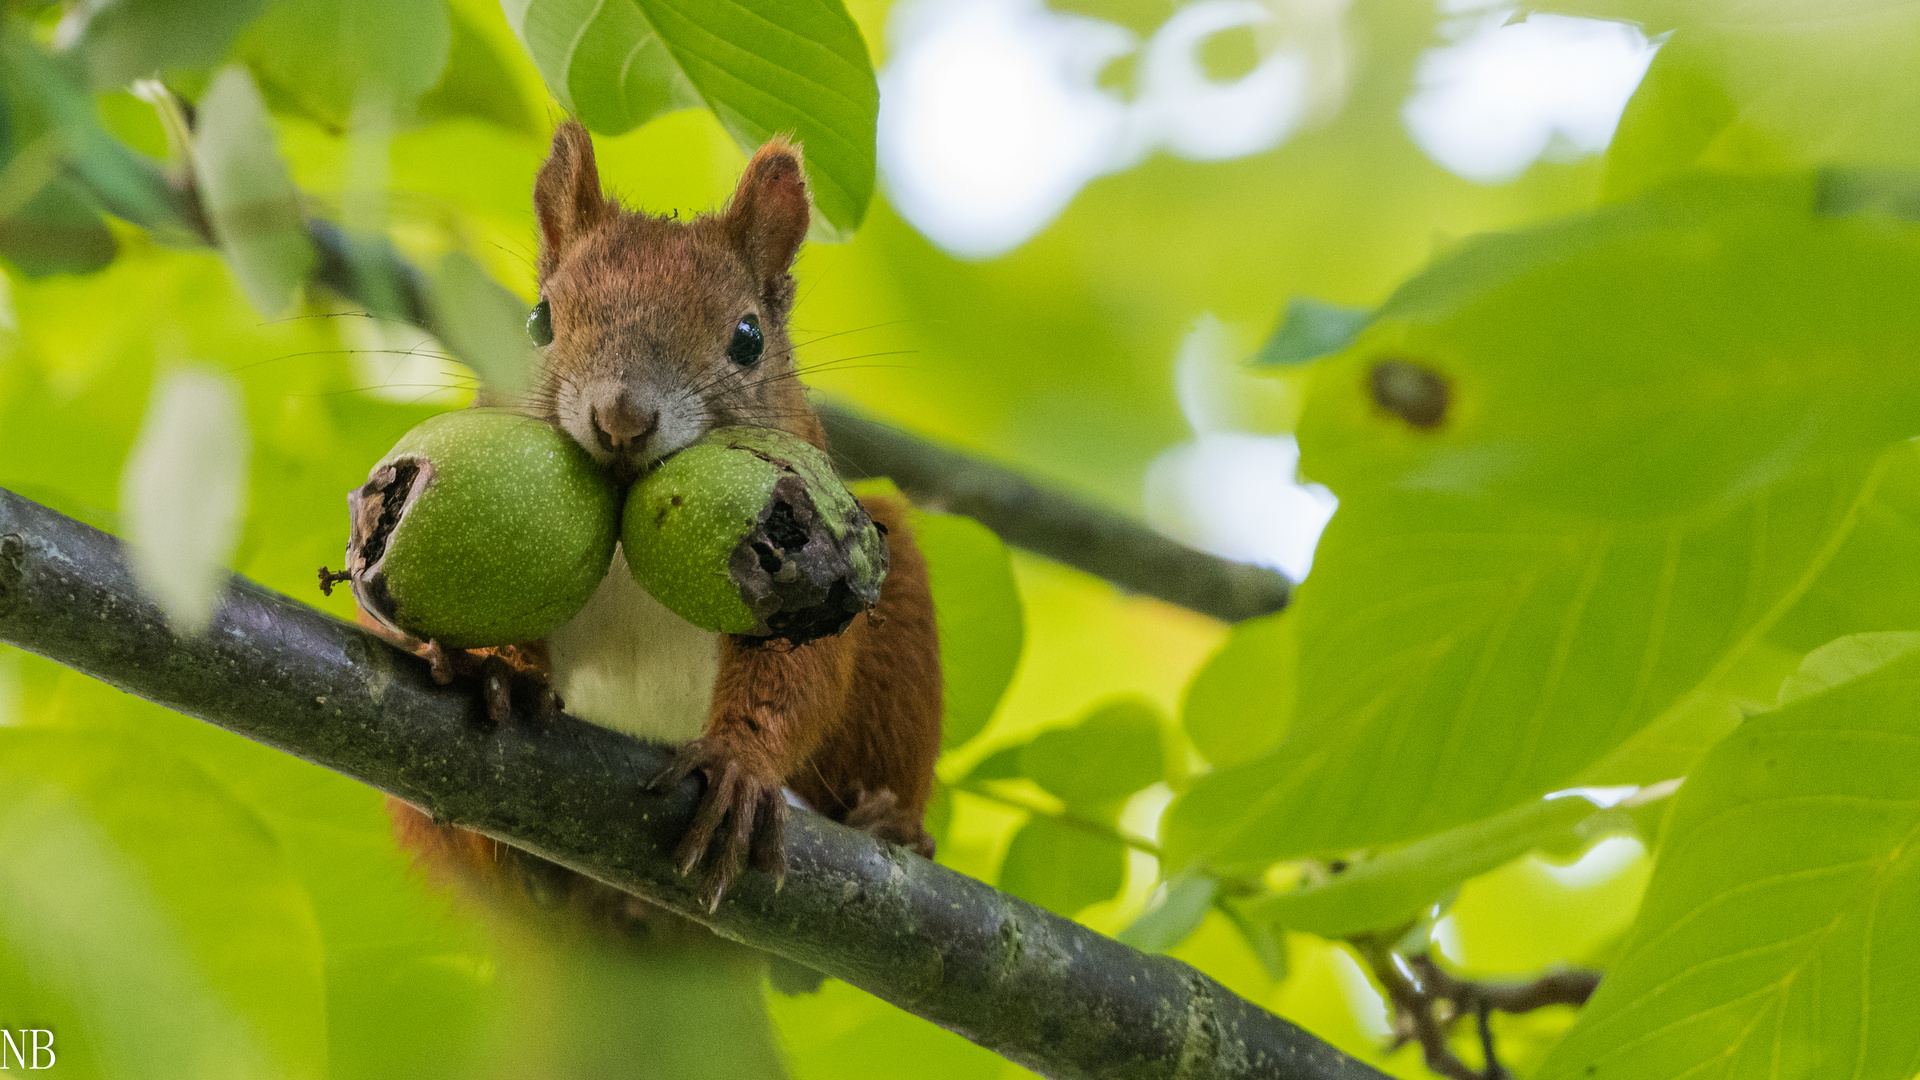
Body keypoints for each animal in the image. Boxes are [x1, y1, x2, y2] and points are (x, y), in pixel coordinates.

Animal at [380, 123, 936, 914]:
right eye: (537, 322)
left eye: (749, 337)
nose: (621, 418)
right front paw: (499, 667)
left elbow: (798, 673)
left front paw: (740, 764)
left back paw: (889, 823)